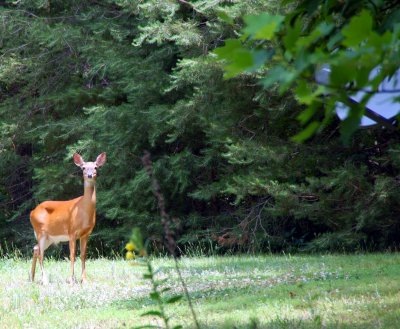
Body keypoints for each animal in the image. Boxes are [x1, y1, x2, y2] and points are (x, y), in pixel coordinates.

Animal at [29, 152, 106, 284]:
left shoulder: (86, 233)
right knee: (40, 254)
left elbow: (83, 255)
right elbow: (72, 255)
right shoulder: (72, 232)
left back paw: (32, 278)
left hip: (49, 237)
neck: (83, 210)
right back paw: (44, 280)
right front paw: (71, 279)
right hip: (40, 231)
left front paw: (84, 279)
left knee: (36, 248)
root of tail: (32, 212)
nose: (90, 175)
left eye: (96, 167)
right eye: (83, 168)